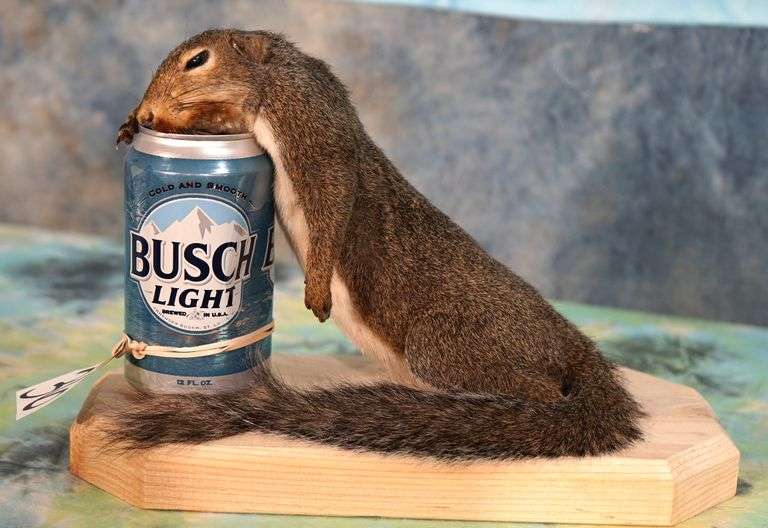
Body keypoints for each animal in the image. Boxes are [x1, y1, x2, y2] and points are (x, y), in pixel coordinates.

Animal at [111, 29, 643, 460]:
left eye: (197, 60)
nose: (149, 110)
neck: (276, 77)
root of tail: (565, 339)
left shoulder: (315, 129)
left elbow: (334, 201)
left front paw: (317, 292)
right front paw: (132, 123)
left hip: (447, 343)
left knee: (540, 390)